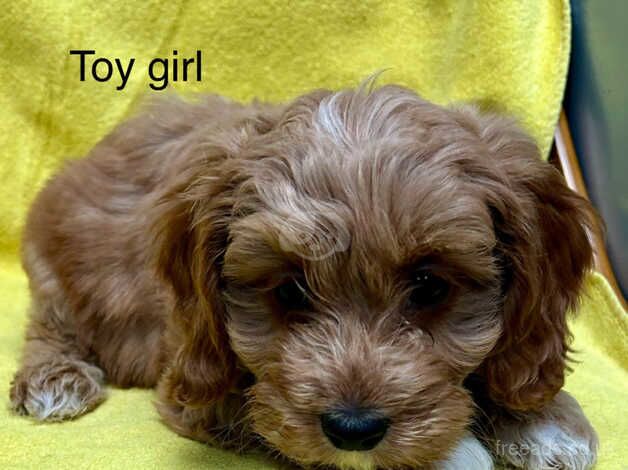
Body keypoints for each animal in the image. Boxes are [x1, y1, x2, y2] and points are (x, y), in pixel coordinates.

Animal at [9, 84, 600, 470]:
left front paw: (547, 420)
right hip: (52, 271)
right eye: (289, 289)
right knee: (48, 326)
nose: (354, 430)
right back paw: (55, 380)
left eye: (431, 287)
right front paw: (459, 454)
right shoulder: (209, 389)